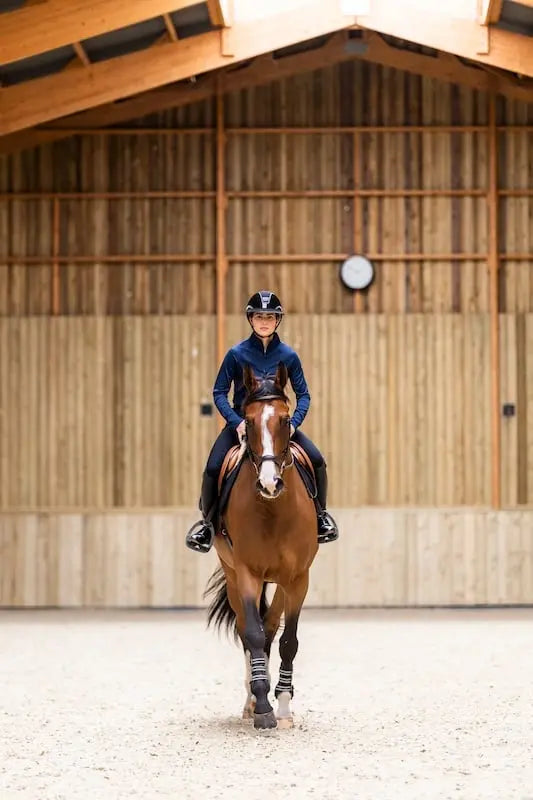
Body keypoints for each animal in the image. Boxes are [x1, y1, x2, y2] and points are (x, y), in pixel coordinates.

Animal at [203, 362, 319, 730]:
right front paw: (263, 707)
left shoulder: (297, 578)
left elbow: (287, 640)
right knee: (247, 630)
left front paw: (282, 705)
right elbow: (252, 635)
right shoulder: (247, 573)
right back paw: (251, 701)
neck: (273, 510)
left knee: (270, 629)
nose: (270, 483)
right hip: (232, 575)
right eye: (249, 421)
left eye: (284, 419)